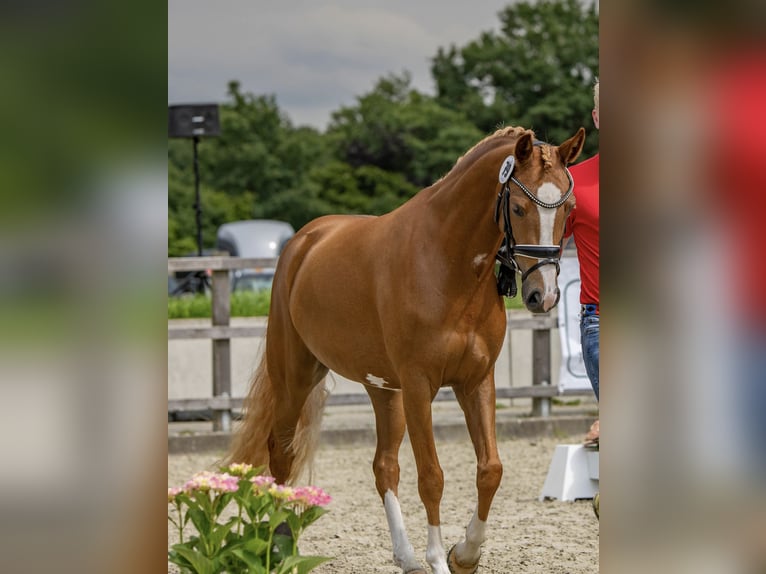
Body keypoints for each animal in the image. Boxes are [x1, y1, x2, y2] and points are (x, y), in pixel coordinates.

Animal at [231, 127, 584, 574]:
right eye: (519, 208)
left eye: (569, 208)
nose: (545, 295)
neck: (446, 262)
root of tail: (303, 242)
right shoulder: (420, 386)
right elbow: (432, 476)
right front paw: (438, 560)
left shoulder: (475, 382)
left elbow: (490, 469)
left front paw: (464, 554)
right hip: (296, 377)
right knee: (281, 453)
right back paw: (277, 546)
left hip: (384, 389)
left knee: (384, 465)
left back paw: (406, 556)